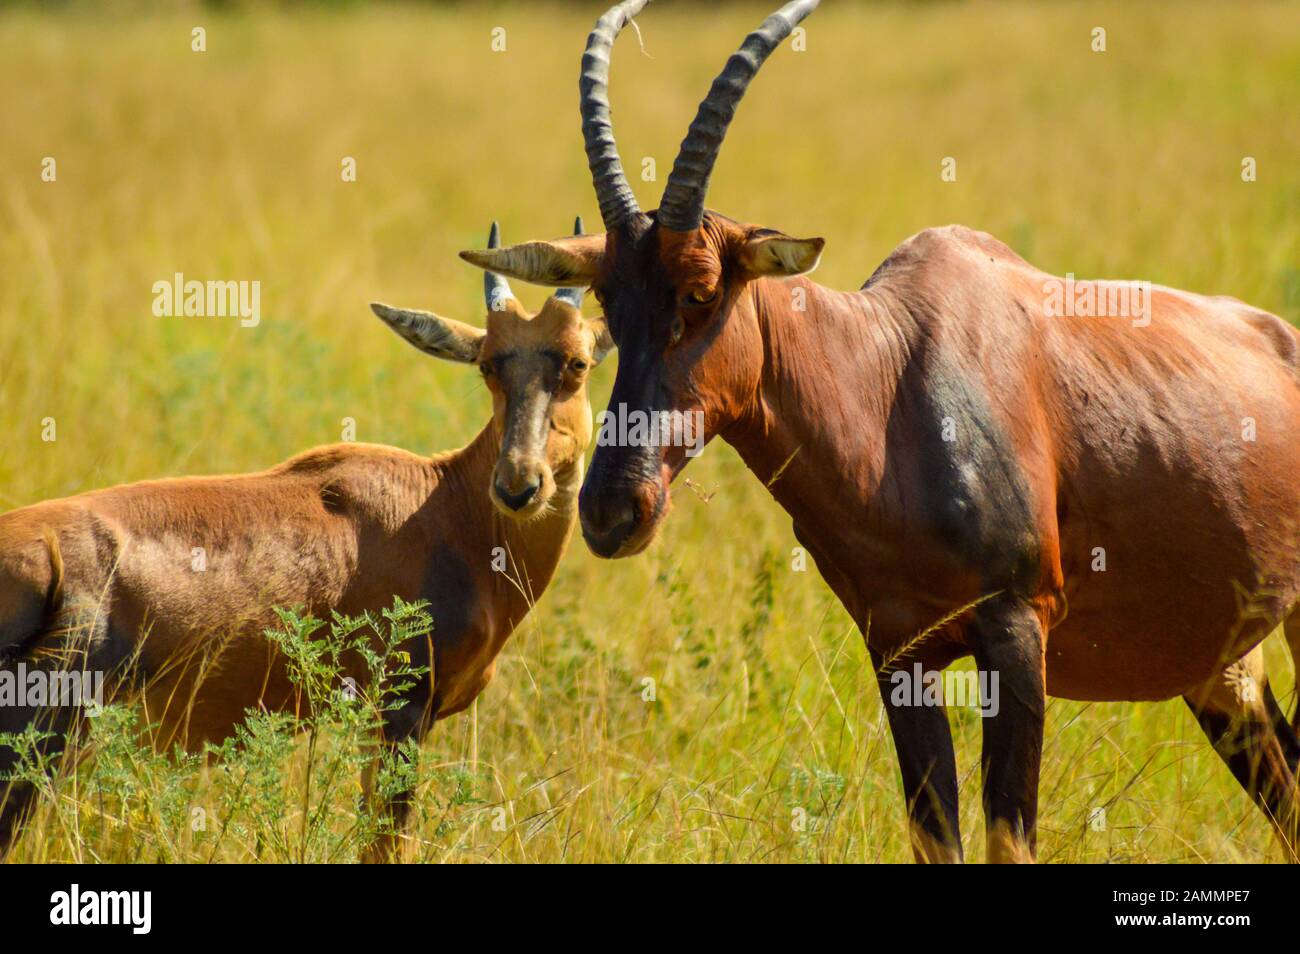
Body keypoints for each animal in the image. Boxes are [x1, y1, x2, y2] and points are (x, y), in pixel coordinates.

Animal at [454, 0, 1300, 868]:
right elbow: (936, 837)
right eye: (607, 302)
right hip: (1225, 666)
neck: (892, 380)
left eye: (701, 289)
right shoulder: (898, 651)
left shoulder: (1017, 631)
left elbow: (1008, 839)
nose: (611, 511)